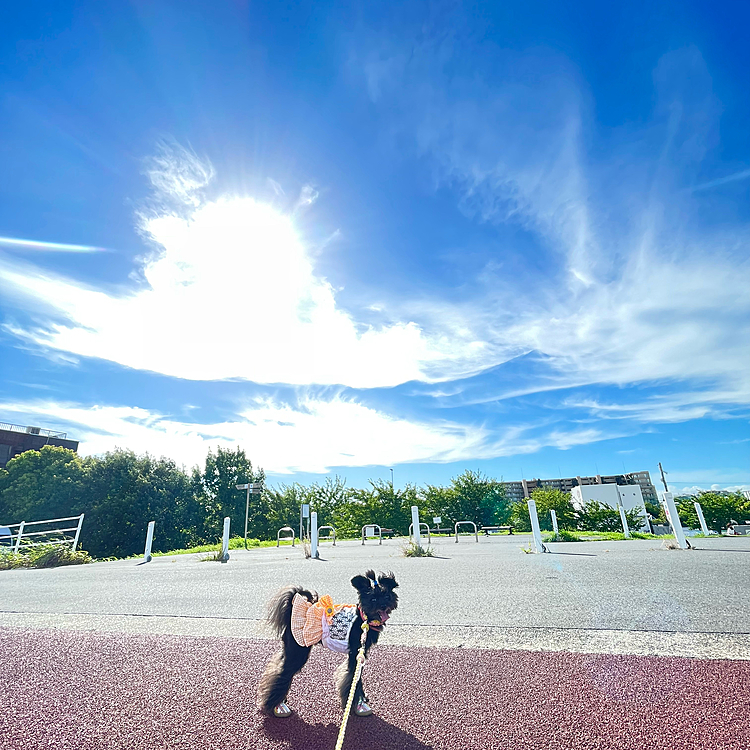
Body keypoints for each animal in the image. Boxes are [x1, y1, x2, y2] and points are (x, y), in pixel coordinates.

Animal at [258, 568, 400, 724]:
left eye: (387, 595)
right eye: (373, 599)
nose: (384, 605)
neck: (364, 619)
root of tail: (291, 608)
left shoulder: (360, 655)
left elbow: (356, 677)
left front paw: (361, 700)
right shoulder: (355, 654)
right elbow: (353, 678)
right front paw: (355, 703)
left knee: (276, 669)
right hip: (298, 651)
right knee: (282, 673)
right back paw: (274, 704)